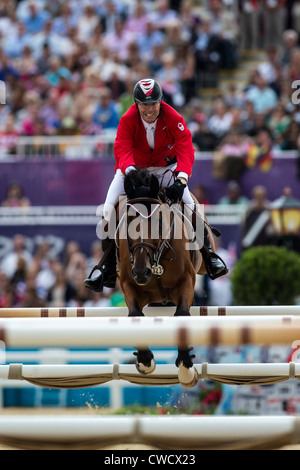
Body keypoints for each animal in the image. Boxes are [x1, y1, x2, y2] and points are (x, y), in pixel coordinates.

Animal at [114, 167, 204, 388]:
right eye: (128, 220)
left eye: (158, 220)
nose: (141, 272)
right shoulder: (129, 284)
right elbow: (135, 316)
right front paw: (145, 360)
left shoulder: (186, 282)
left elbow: (182, 316)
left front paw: (186, 368)